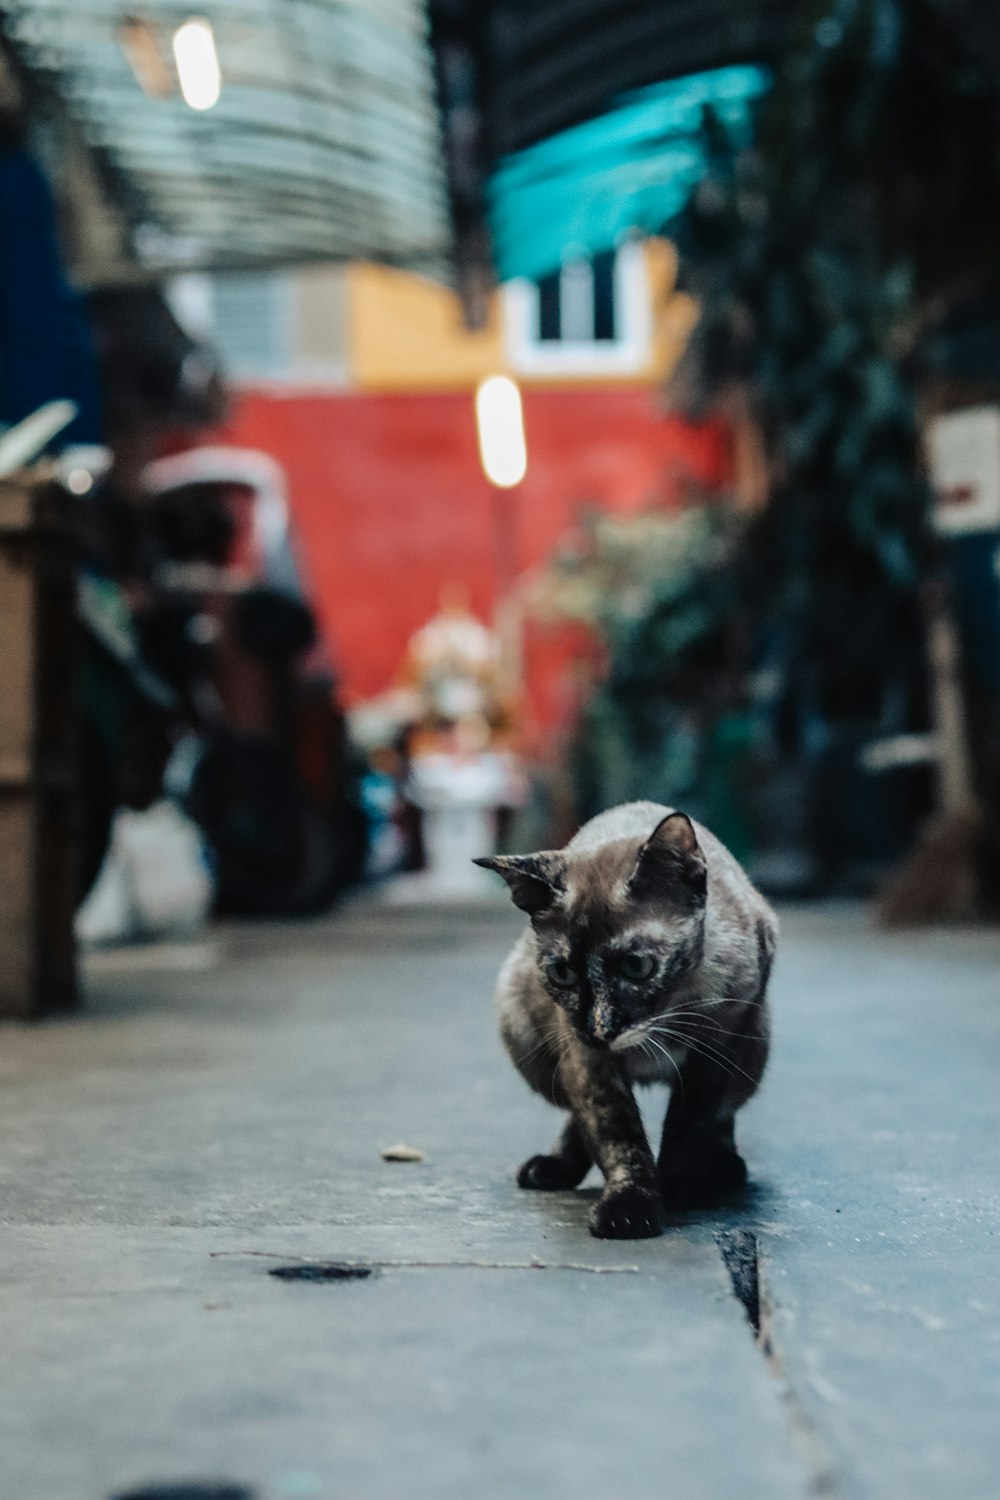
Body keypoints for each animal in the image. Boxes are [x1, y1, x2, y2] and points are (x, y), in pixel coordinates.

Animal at [479, 804, 779, 1236]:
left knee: (725, 1114)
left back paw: (723, 1167)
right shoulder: (587, 1058)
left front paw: (680, 1187)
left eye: (637, 966)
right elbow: (615, 1132)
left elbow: (690, 1124)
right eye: (562, 974)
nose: (600, 1029)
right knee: (577, 1117)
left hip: (754, 1048)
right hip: (521, 1025)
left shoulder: (717, 1047)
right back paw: (555, 1168)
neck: (667, 1011)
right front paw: (630, 1205)